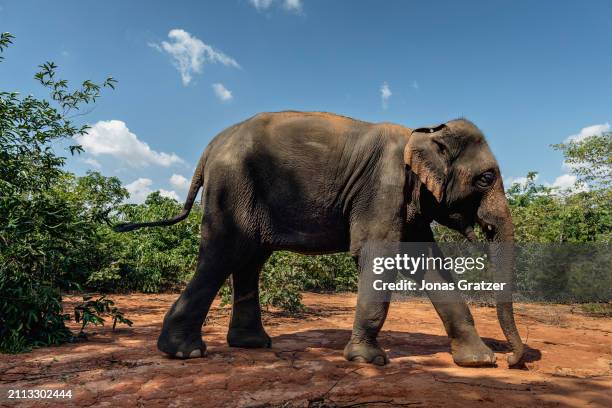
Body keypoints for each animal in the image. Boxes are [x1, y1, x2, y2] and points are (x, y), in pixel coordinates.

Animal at [116, 111, 524, 366]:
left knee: (249, 260)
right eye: (486, 179)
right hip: (231, 188)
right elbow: (376, 255)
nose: (514, 359)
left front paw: (479, 361)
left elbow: (426, 262)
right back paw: (183, 353)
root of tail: (210, 148)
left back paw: (252, 345)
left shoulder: (407, 200)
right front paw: (369, 361)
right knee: (223, 254)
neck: (423, 133)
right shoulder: (382, 186)